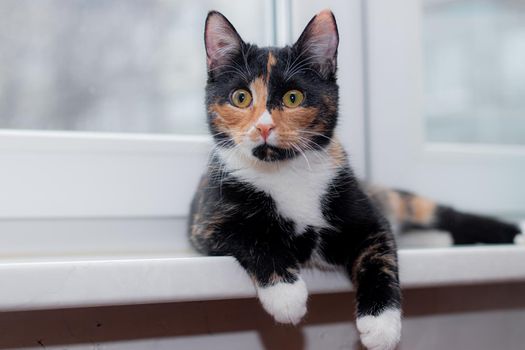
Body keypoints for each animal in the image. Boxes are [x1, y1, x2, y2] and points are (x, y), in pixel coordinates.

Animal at [187, 8, 520, 350]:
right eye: (241, 97)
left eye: (293, 98)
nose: (264, 127)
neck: (285, 171)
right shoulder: (206, 222)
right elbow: (252, 238)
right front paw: (287, 296)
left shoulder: (367, 218)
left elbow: (380, 258)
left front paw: (381, 325)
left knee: (441, 212)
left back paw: (509, 233)